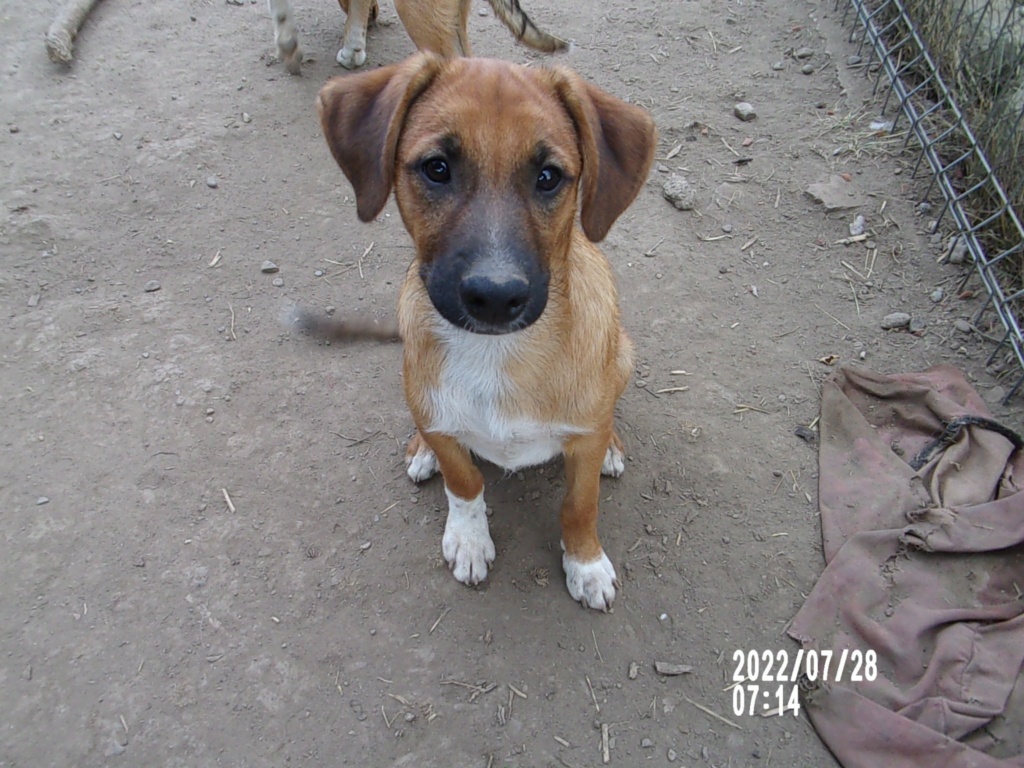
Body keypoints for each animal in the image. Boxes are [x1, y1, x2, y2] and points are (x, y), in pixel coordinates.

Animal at [315, 54, 655, 610]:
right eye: (436, 168)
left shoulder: (582, 450)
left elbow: (580, 504)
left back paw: (609, 446)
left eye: (548, 177)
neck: (498, 353)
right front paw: (470, 539)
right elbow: (465, 480)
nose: (495, 297)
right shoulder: (438, 416)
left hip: (623, 353)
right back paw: (422, 450)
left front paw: (585, 564)